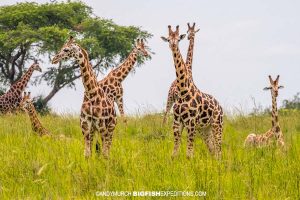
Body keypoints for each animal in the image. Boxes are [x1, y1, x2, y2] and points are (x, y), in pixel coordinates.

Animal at [162, 25, 223, 159]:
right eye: (168, 39)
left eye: (178, 39)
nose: (172, 46)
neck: (183, 91)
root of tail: (220, 106)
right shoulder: (177, 122)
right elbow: (174, 153)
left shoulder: (191, 122)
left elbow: (189, 154)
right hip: (205, 129)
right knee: (213, 149)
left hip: (217, 124)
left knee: (219, 149)